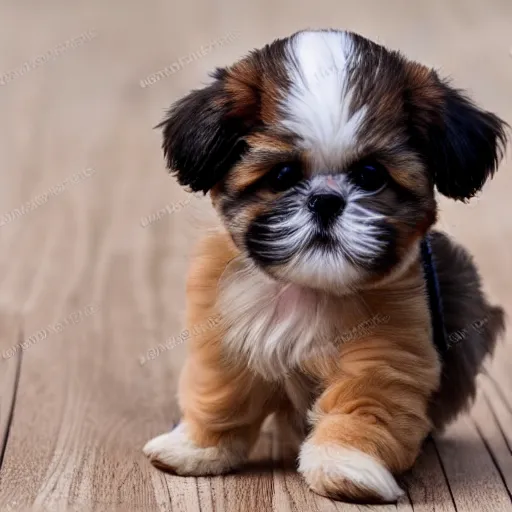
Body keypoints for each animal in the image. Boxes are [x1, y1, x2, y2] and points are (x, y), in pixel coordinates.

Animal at [143, 30, 508, 502]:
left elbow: (364, 405)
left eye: (371, 175)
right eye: (282, 176)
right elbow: (221, 392)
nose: (325, 200)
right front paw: (196, 447)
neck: (308, 288)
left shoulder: (385, 351)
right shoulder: (224, 332)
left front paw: (348, 465)